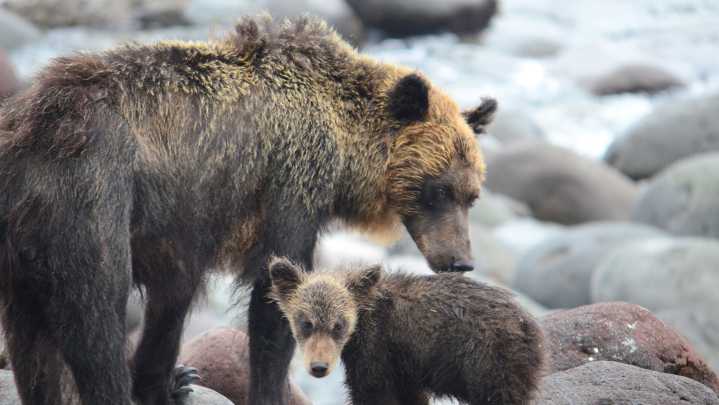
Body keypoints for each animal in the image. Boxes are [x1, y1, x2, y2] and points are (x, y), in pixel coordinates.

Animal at [0, 15, 496, 405]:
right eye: (439, 190)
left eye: (471, 194)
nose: (460, 261)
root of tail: (34, 129)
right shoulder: (291, 181)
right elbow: (276, 294)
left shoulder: (184, 226)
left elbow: (172, 300)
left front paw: (172, 380)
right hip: (91, 199)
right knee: (95, 314)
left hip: (24, 246)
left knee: (34, 349)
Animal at [269, 257, 546, 405]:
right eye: (306, 323)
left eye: (338, 325)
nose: (319, 367)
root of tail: (529, 325)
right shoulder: (404, 364)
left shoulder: (378, 350)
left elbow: (372, 393)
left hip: (490, 361)